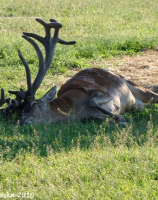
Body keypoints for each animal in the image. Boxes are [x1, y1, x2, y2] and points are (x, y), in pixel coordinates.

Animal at [0, 17, 158, 125]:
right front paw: (119, 118)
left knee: (152, 94)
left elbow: (94, 100)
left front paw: (121, 118)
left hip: (132, 85)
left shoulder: (101, 93)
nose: (22, 121)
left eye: (33, 104)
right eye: (18, 112)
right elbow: (103, 118)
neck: (74, 107)